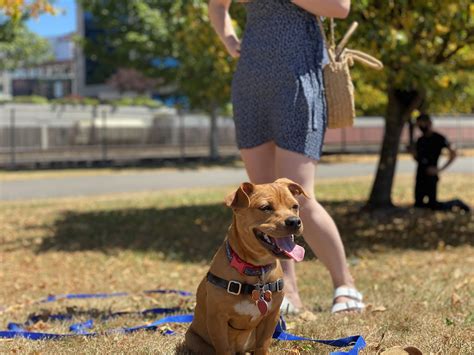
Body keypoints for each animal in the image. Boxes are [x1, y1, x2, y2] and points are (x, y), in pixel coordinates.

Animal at [185, 179, 308, 355]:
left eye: (295, 206)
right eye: (265, 207)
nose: (294, 221)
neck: (255, 269)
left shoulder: (271, 316)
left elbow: (262, 346)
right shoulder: (217, 319)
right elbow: (223, 349)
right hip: (192, 338)